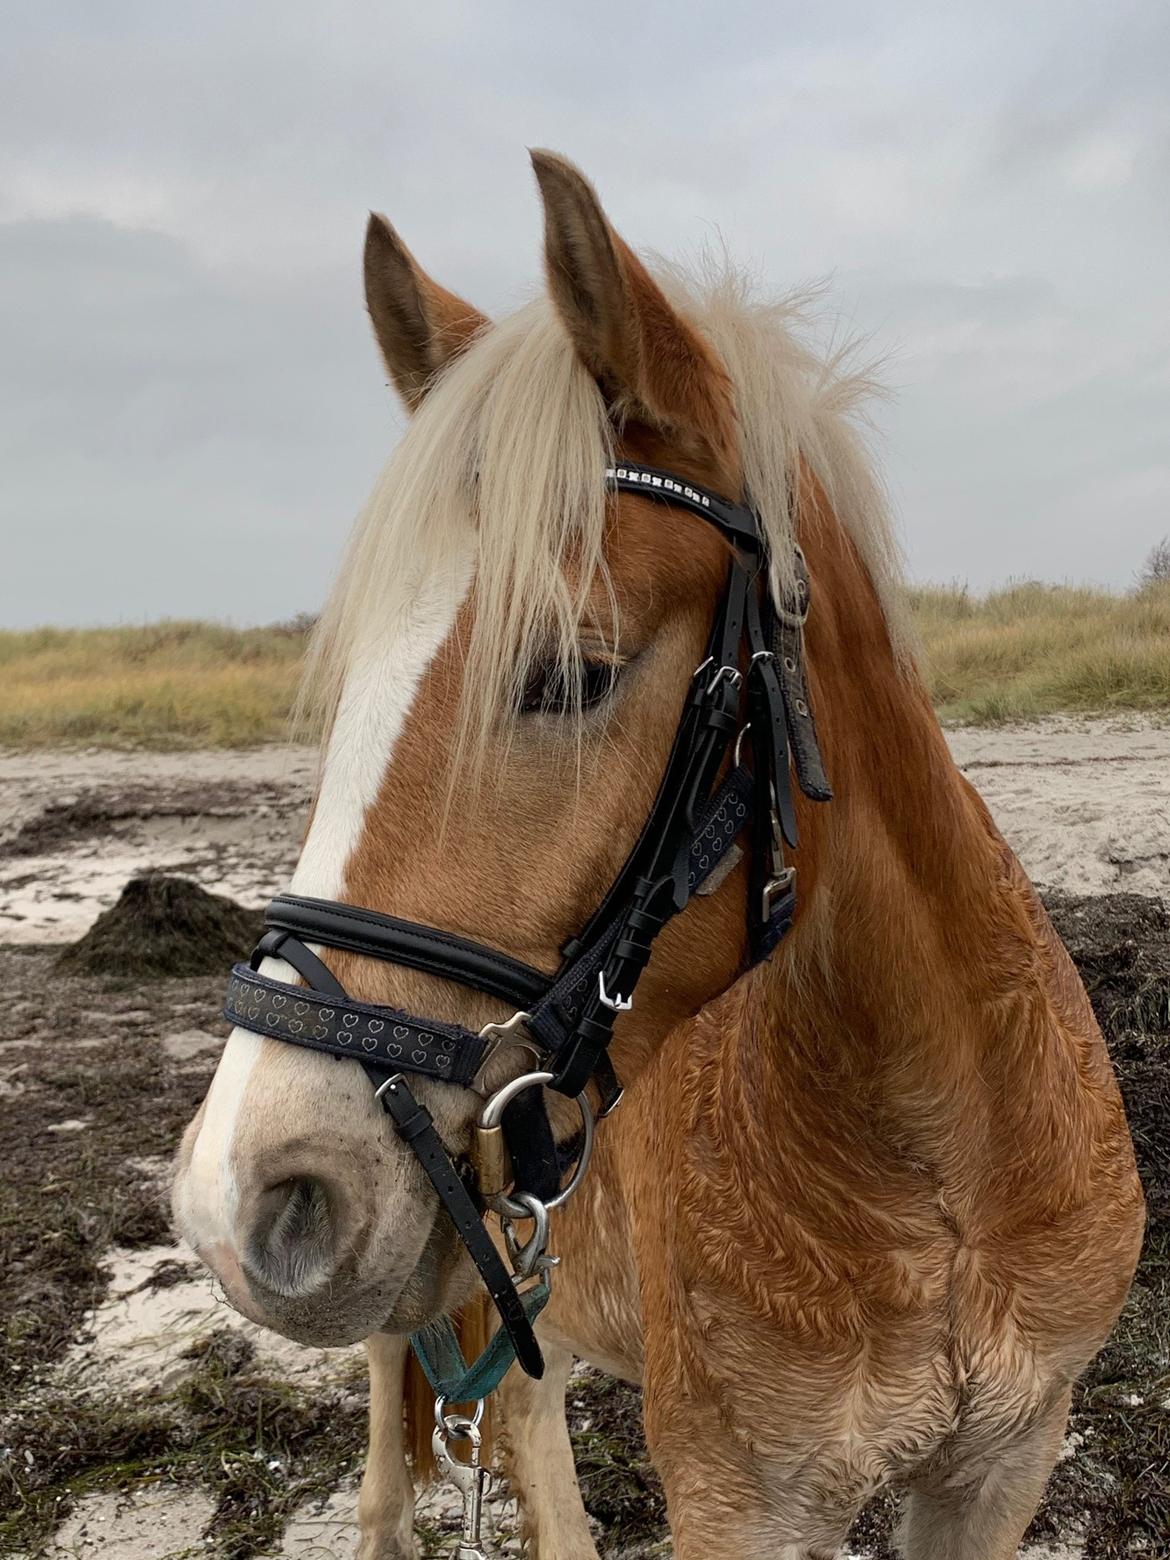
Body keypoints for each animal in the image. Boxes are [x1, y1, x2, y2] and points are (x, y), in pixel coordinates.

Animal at [173, 148, 1148, 1560]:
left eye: (569, 675)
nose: (238, 1195)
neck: (938, 1167)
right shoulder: (746, 1499)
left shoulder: (1001, 1466)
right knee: (397, 1469)